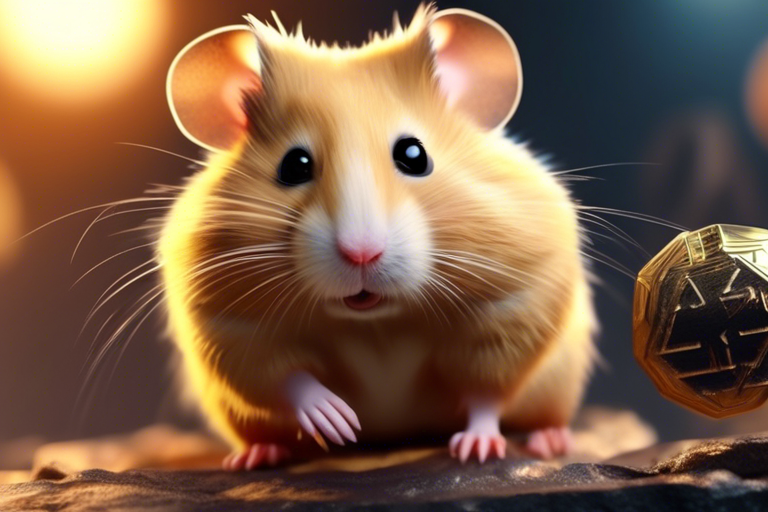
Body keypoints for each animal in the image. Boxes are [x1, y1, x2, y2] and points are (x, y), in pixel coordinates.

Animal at [159, 3, 597, 470]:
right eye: (293, 165)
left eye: (414, 155)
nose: (361, 253)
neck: (377, 324)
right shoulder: (230, 326)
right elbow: (285, 378)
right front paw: (338, 422)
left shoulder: (514, 305)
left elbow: (486, 392)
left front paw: (476, 450)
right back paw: (257, 455)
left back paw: (549, 441)